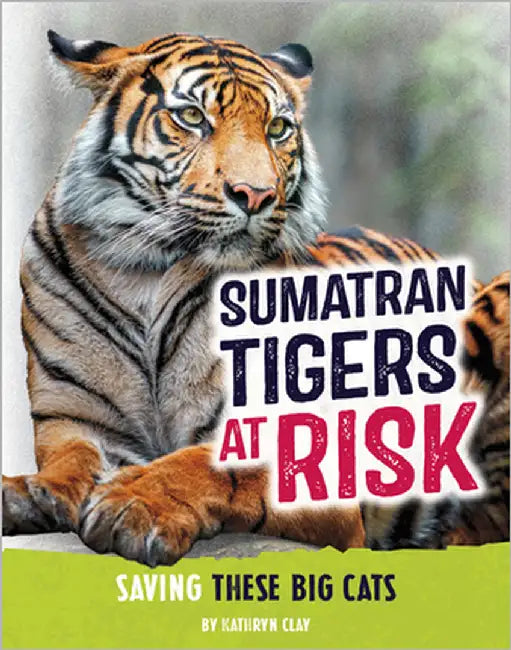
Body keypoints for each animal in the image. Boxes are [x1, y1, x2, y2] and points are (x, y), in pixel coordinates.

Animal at [2, 31, 508, 566]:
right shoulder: (74, 417)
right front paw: (27, 493)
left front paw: (134, 504)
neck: (148, 275)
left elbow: (213, 463)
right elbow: (70, 461)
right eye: (192, 116)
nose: (256, 194)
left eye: (278, 127)